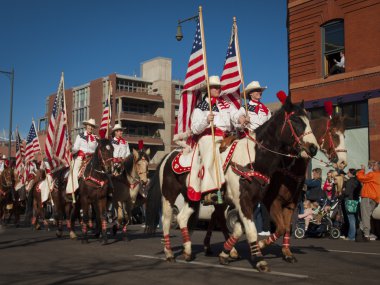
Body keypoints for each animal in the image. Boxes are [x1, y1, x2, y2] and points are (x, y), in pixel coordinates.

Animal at [147, 93, 320, 270]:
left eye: (308, 120)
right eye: (296, 120)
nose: (313, 148)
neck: (253, 158)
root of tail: (168, 155)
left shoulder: (251, 202)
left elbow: (239, 229)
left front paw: (226, 253)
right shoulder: (247, 201)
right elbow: (251, 230)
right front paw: (259, 259)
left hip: (193, 197)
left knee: (183, 217)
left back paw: (189, 250)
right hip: (169, 195)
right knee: (167, 219)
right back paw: (169, 252)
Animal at [260, 113, 346, 262]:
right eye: (335, 135)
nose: (343, 162)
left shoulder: (291, 204)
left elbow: (286, 227)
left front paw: (287, 253)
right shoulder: (273, 201)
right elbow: (281, 228)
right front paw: (259, 245)